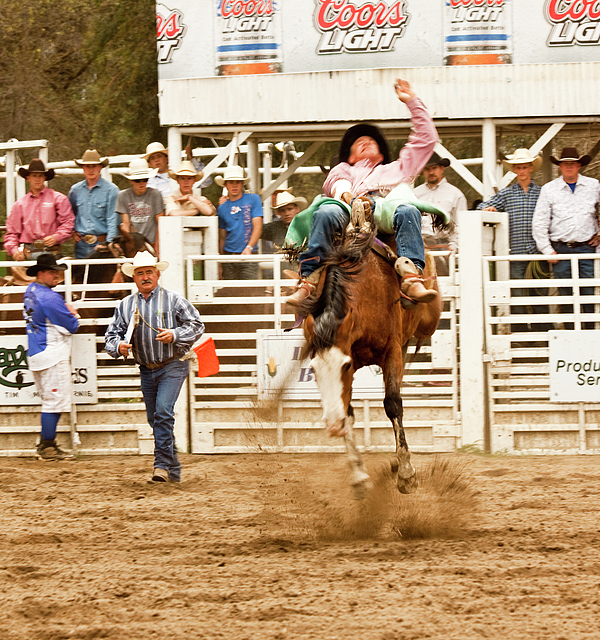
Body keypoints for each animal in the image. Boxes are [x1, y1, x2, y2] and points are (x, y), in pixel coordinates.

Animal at [300, 231, 440, 500]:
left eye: (344, 366)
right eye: (313, 369)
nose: (332, 426)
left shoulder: (391, 351)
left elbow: (393, 404)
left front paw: (407, 474)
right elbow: (347, 412)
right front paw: (359, 477)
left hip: (427, 321)